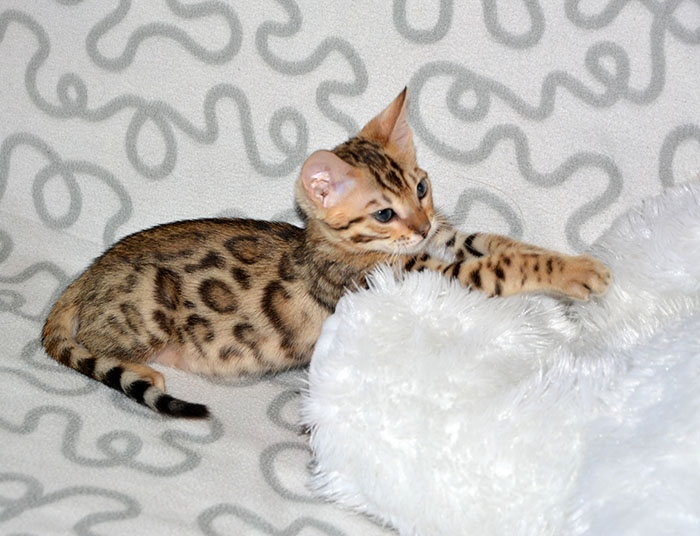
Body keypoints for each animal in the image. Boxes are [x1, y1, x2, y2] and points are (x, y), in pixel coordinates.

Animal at [41, 88, 611, 418]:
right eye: (383, 214)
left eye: (421, 188)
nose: (422, 223)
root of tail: (93, 269)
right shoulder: (411, 274)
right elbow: (505, 264)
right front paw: (581, 275)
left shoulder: (446, 243)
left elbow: (506, 244)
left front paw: (573, 262)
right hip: (146, 314)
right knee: (95, 343)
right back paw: (143, 371)